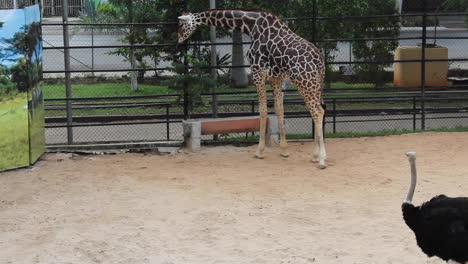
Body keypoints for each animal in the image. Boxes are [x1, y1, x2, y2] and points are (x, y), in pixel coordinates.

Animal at [179, 8, 330, 169]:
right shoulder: (276, 78)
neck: (250, 26)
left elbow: (262, 110)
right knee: (318, 110)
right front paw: (284, 150)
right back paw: (314, 156)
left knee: (318, 111)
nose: (178, 40)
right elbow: (279, 109)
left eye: (181, 25)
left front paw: (259, 151)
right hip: (316, 84)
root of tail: (319, 60)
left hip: (304, 82)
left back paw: (321, 159)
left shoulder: (258, 73)